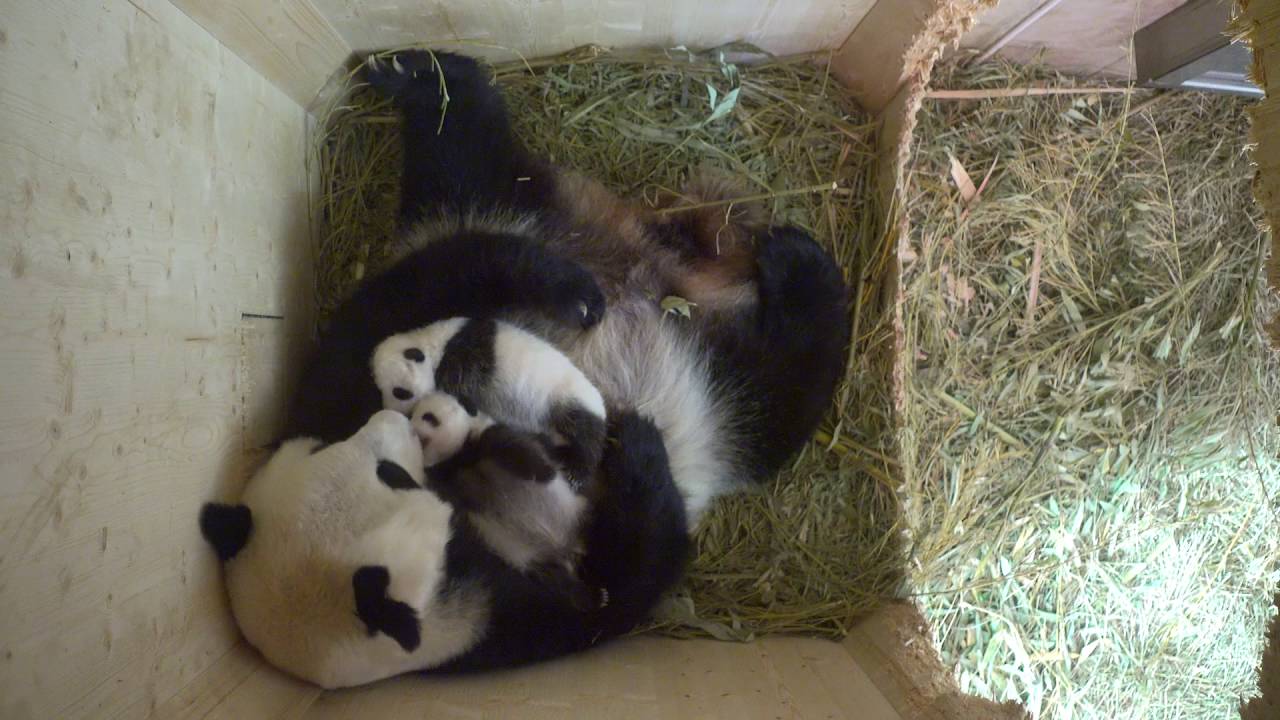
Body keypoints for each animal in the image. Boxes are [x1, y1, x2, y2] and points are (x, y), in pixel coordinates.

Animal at [200, 407, 687, 686]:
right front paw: (639, 439)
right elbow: (627, 578)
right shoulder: (501, 625)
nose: (393, 417)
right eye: (393, 473)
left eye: (325, 443)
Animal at [372, 316, 607, 482]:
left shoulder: (465, 358)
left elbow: (462, 387)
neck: (434, 345)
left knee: (585, 435)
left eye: (400, 392)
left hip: (567, 399)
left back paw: (578, 472)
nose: (393, 410)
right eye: (379, 389)